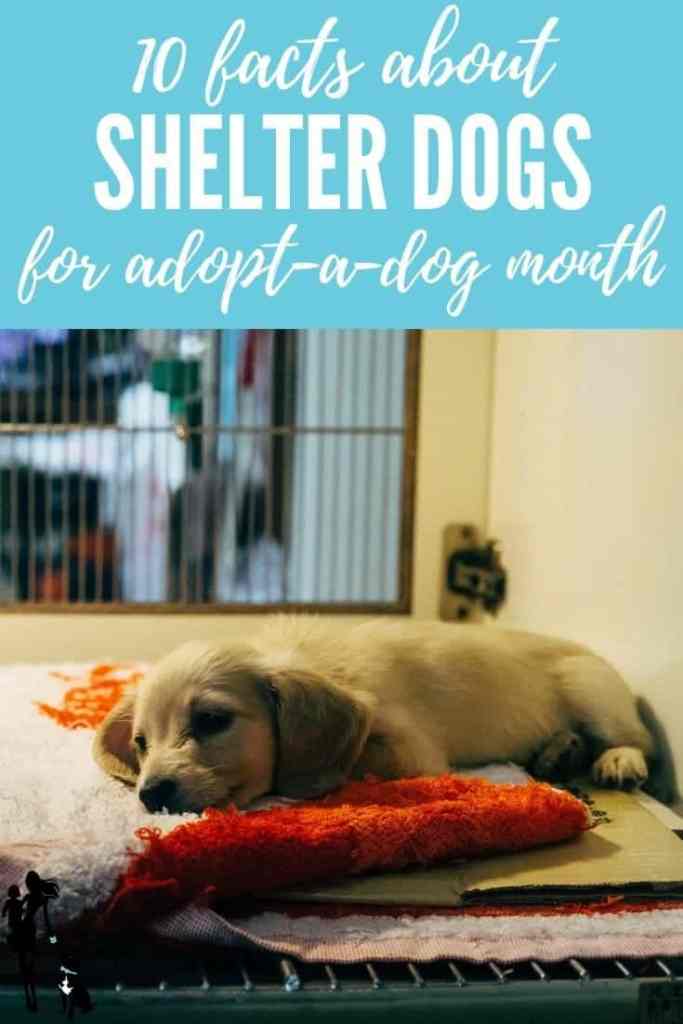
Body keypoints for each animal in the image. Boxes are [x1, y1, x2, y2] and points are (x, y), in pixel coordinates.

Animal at [93, 614, 655, 815]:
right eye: (141, 744)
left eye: (212, 720)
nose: (150, 794)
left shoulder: (412, 751)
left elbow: (357, 760)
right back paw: (559, 751)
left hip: (591, 689)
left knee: (633, 738)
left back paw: (617, 760)